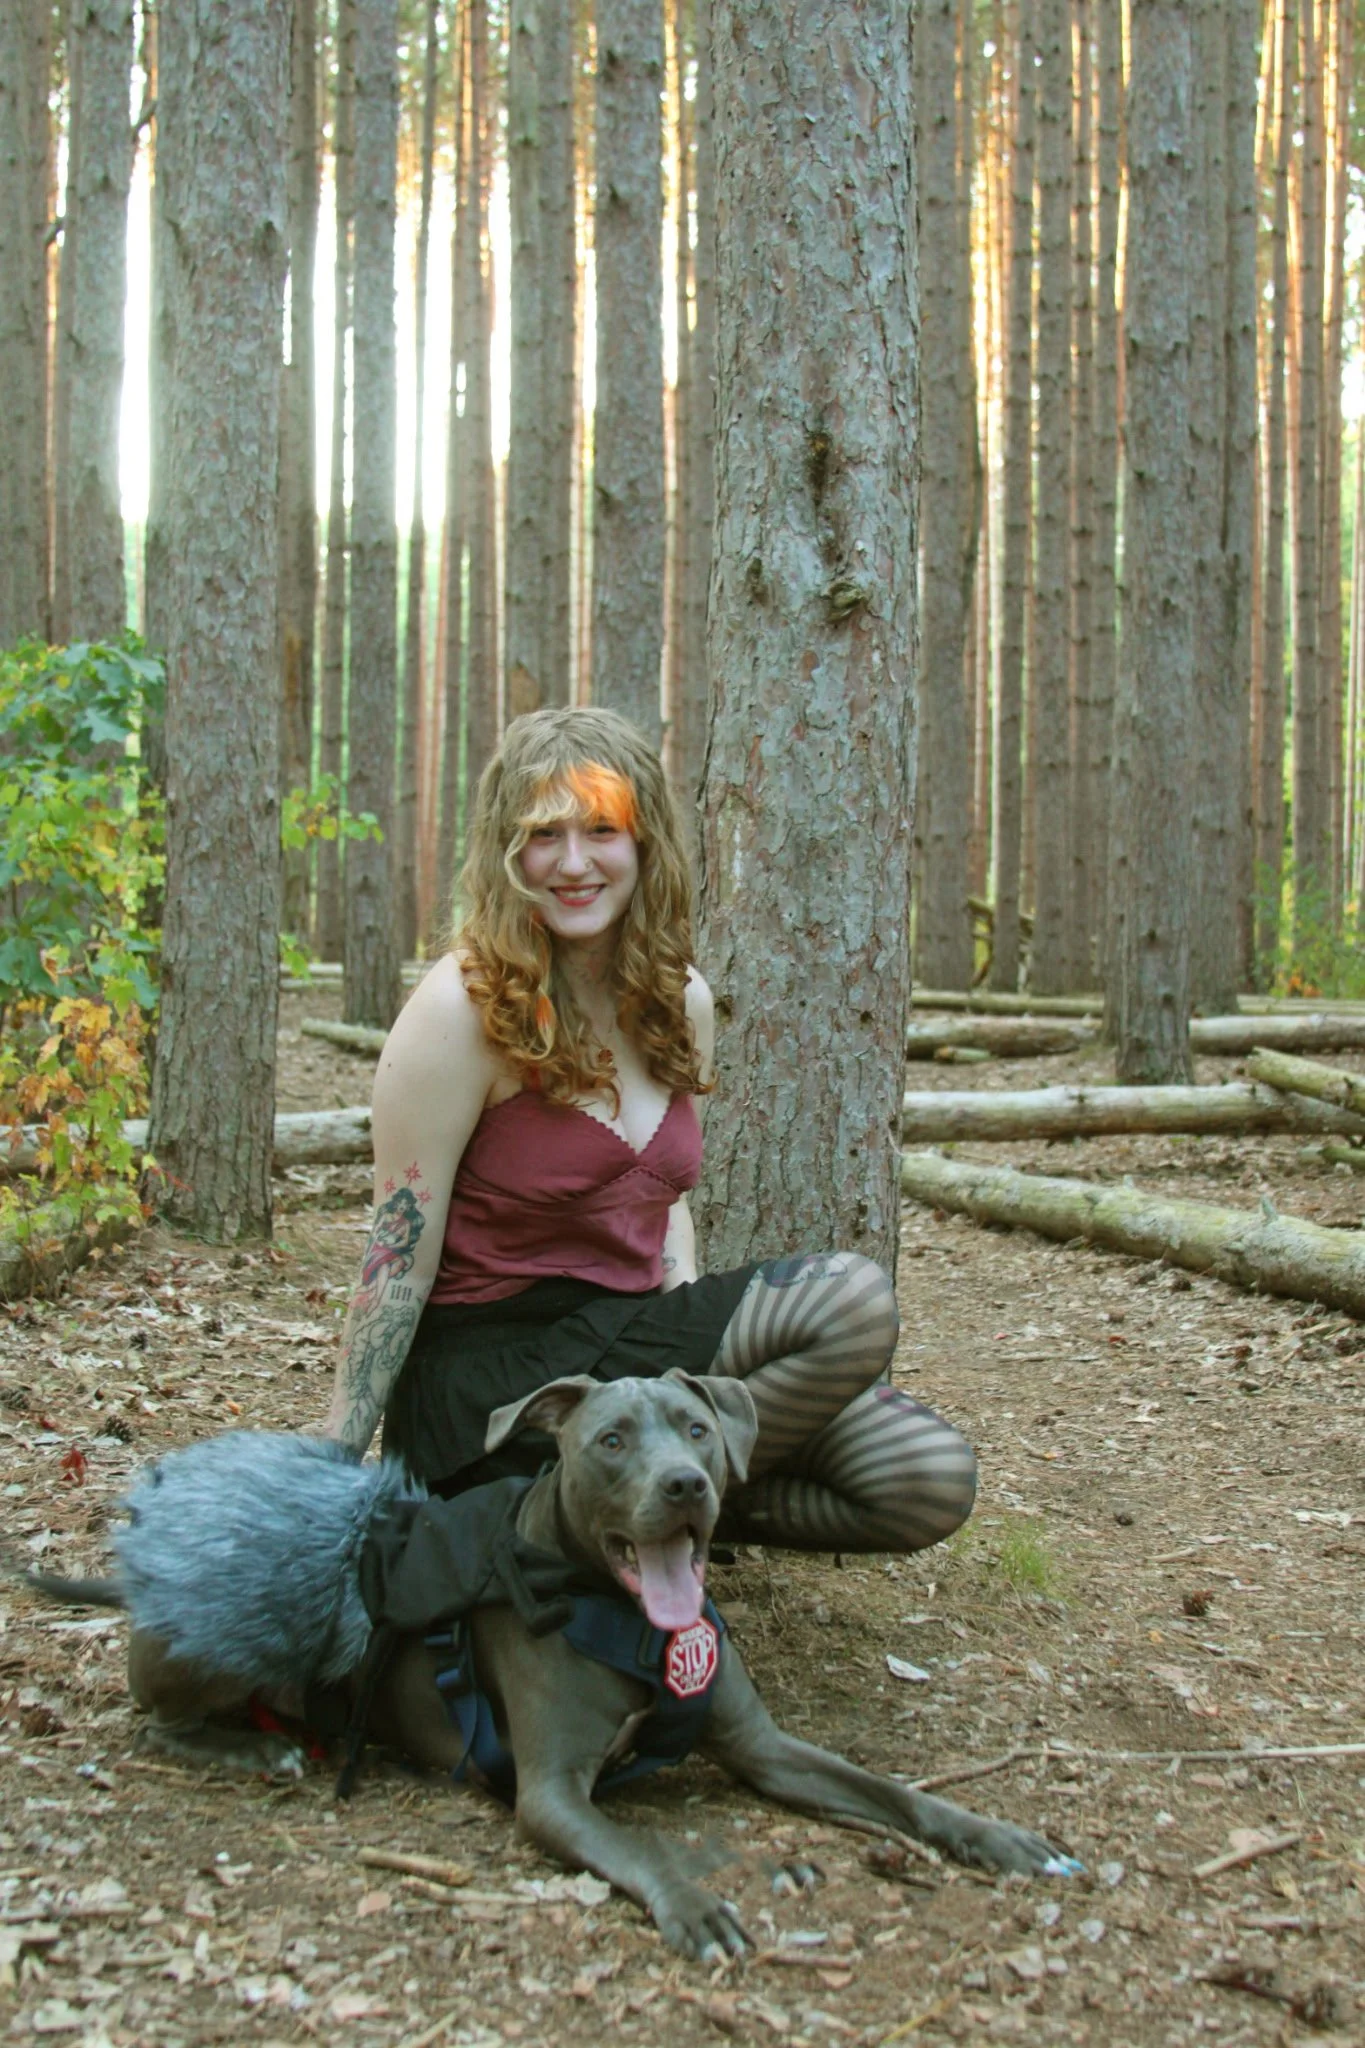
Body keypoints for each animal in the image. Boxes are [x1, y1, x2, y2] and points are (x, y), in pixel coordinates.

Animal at [25, 1371, 1079, 1961]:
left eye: (696, 1430)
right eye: (610, 1440)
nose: (684, 1485)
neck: (631, 1620)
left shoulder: (765, 1747)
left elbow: (892, 1791)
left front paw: (994, 1835)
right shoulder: (553, 1792)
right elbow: (645, 1848)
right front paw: (695, 1905)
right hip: (203, 1642)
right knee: (152, 1723)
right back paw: (253, 1751)